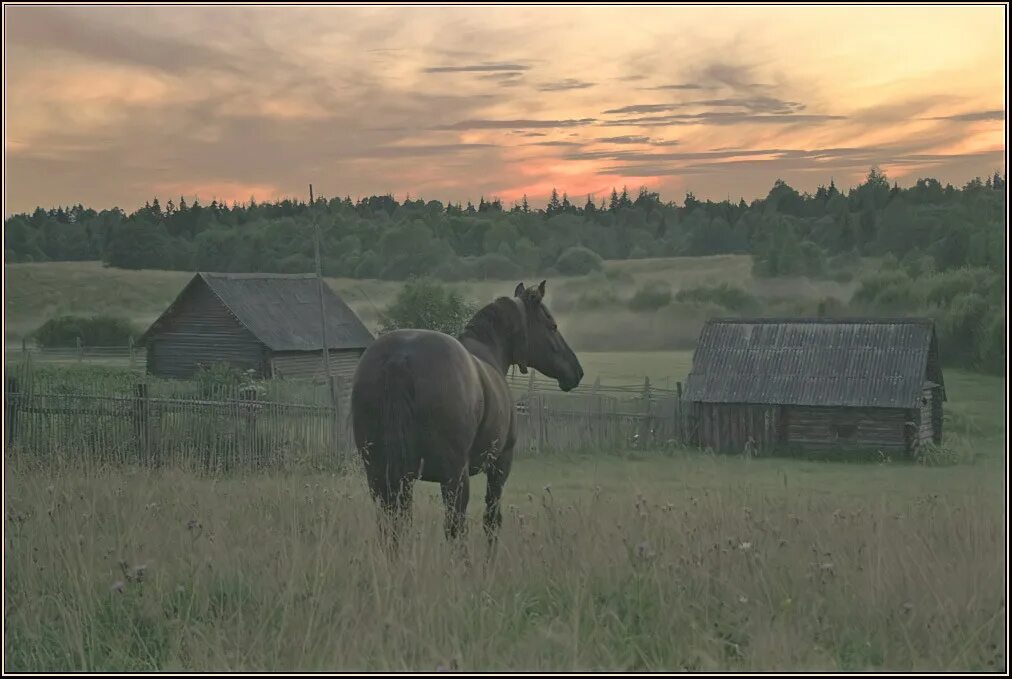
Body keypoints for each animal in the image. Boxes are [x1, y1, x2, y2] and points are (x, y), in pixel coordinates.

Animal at [352, 279, 586, 546]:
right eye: (552, 325)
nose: (577, 372)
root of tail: (400, 358)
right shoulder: (500, 464)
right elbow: (491, 520)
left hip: (380, 475)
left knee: (392, 526)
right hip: (453, 477)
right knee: (454, 528)